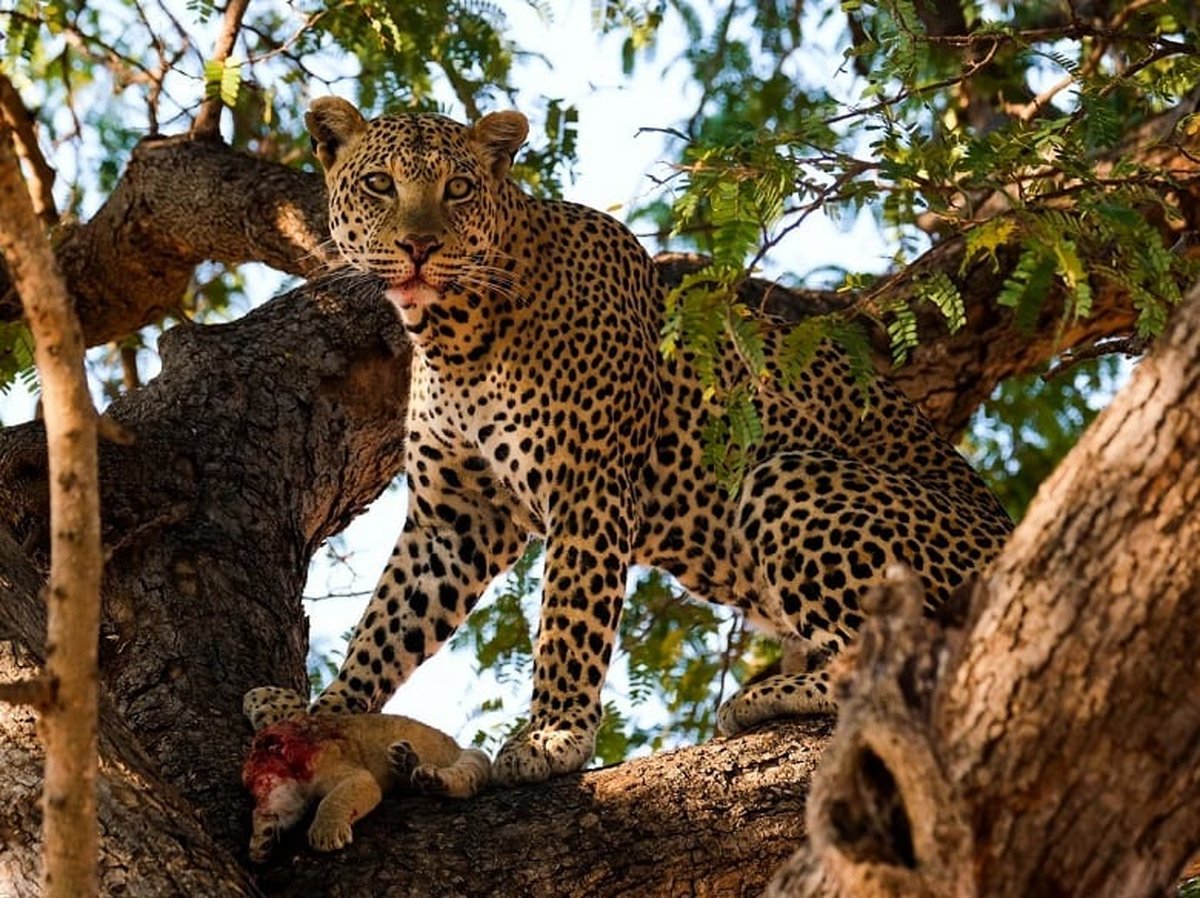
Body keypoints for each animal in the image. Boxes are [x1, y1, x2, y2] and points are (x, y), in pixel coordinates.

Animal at [241, 686, 489, 864]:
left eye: (255, 755)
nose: (244, 776)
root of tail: (457, 746)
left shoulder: (349, 773)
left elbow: (335, 798)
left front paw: (326, 832)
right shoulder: (295, 794)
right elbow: (283, 811)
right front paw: (263, 836)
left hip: (470, 756)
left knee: (466, 779)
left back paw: (431, 778)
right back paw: (406, 761)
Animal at [288, 96, 1012, 787]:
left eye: (459, 189)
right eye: (380, 184)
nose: (418, 247)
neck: (454, 336)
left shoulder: (589, 488)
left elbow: (569, 622)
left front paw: (552, 736)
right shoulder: (456, 518)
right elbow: (388, 623)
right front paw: (327, 719)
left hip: (793, 477)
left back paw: (767, 696)